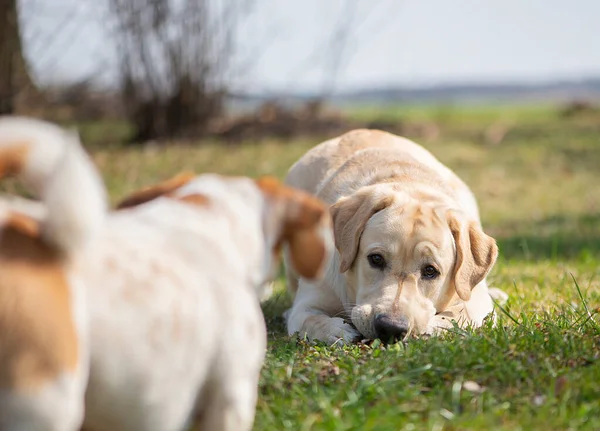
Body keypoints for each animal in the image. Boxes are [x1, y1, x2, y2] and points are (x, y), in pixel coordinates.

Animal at [284, 128, 506, 344]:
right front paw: (337, 330)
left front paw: (435, 326)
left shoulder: (476, 302)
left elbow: (462, 313)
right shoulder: (307, 305)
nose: (390, 328)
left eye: (430, 271)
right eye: (375, 259)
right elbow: (310, 319)